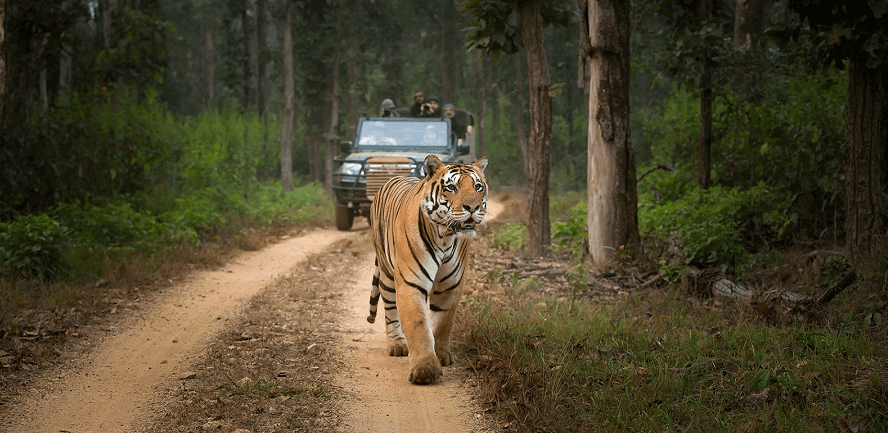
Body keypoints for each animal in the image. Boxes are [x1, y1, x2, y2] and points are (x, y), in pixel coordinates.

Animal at [368, 154, 492, 382]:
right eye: (451, 187)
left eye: (478, 187)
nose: (473, 208)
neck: (446, 236)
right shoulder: (411, 283)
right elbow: (417, 324)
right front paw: (425, 369)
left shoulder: (450, 285)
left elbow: (442, 322)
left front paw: (441, 355)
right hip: (387, 272)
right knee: (390, 309)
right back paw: (397, 344)